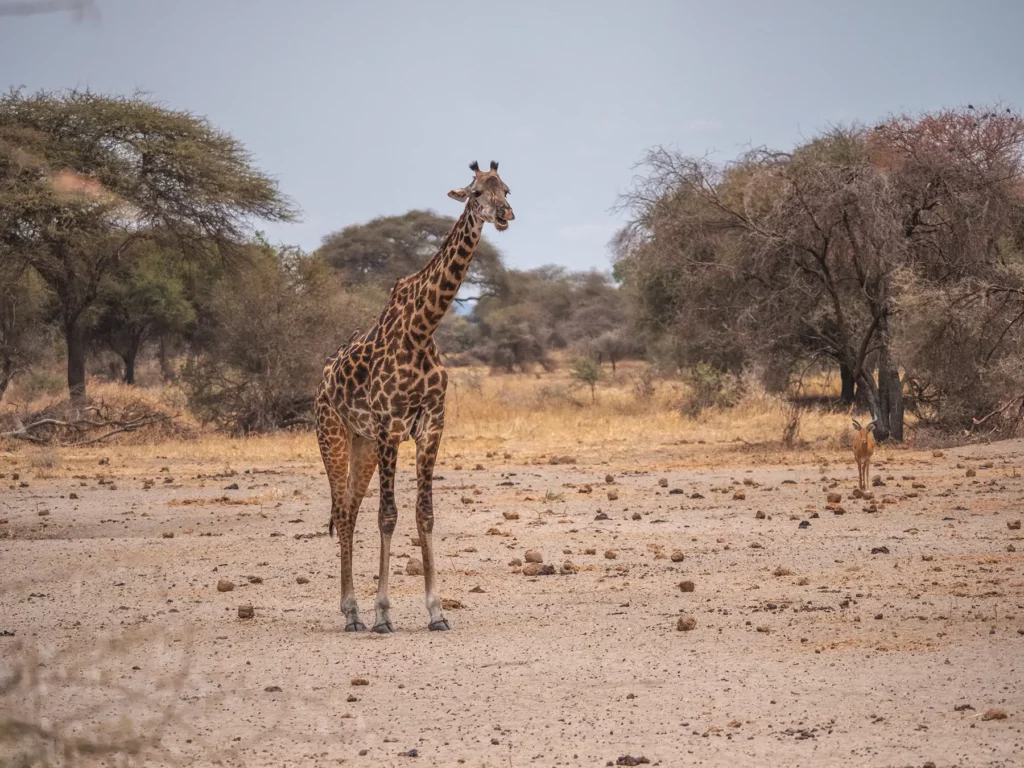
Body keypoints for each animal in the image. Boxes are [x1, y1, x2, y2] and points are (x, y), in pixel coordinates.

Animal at [315, 161, 513, 633]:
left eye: (507, 189)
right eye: (475, 192)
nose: (504, 214)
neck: (423, 330)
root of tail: (321, 381)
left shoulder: (431, 425)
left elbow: (425, 513)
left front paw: (437, 611)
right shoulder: (391, 426)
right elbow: (388, 516)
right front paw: (383, 613)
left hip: (363, 443)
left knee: (350, 509)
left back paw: (353, 612)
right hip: (333, 435)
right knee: (343, 511)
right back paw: (352, 613)